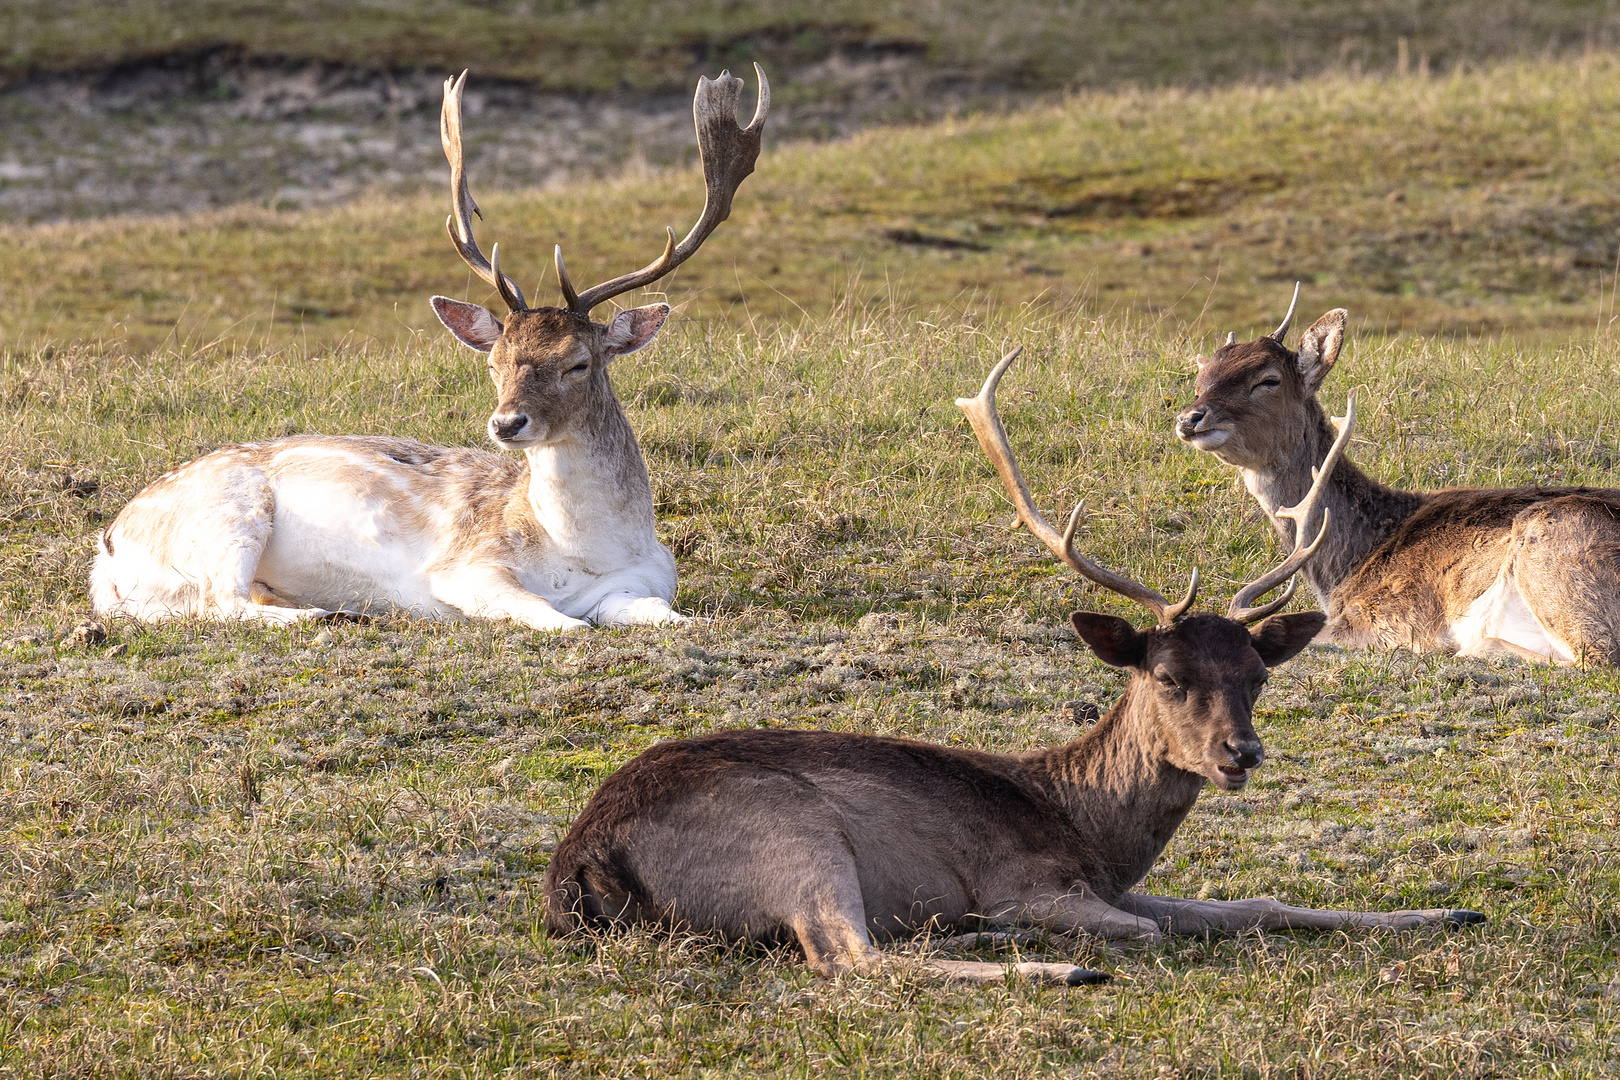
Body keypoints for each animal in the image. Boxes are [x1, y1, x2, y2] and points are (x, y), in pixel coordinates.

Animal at [90, 67, 771, 634]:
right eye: (495, 363)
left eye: (579, 362)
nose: (507, 423)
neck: (586, 551)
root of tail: (109, 547)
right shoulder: (469, 566)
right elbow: (560, 623)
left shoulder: (641, 585)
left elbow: (671, 618)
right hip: (227, 516)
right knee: (220, 602)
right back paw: (326, 613)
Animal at [544, 348, 1483, 990]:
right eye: (1168, 676)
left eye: (1257, 676)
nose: (1239, 754)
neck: (1090, 831)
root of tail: (579, 862)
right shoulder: (1027, 880)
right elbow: (1149, 931)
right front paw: (1059, 944)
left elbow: (1256, 907)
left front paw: (1446, 908)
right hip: (789, 833)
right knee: (846, 955)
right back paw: (1052, 963)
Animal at [1179, 286, 1620, 667]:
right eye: (1200, 381)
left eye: (1268, 379)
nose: (1189, 417)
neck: (1347, 568)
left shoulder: (1387, 615)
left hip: (1551, 550)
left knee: (1595, 656)